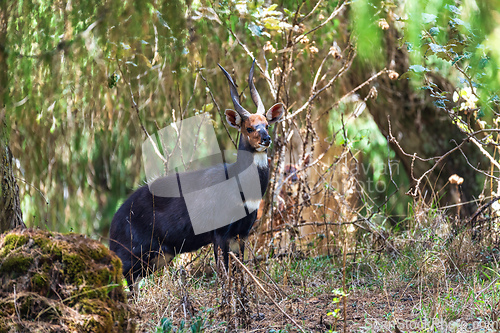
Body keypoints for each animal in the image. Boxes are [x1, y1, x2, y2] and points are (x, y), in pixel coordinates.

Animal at [109, 61, 284, 284]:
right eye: (249, 128)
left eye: (267, 124)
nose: (266, 139)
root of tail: (113, 225)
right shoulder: (219, 233)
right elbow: (223, 273)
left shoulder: (241, 234)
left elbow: (239, 271)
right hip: (133, 254)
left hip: (157, 257)